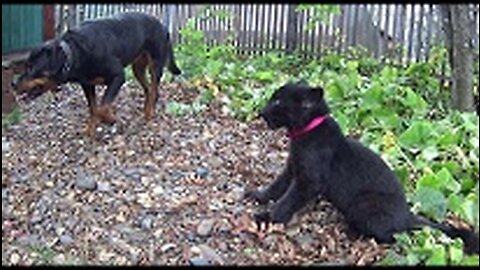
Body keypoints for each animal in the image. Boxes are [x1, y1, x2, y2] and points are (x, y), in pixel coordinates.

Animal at [13, 11, 182, 136]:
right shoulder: (87, 84)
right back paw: (147, 109)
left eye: (31, 68)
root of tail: (164, 26)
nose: (12, 83)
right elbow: (94, 108)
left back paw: (149, 113)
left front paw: (110, 119)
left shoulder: (118, 76)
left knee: (153, 88)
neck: (75, 53)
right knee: (149, 90)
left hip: (155, 63)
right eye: (25, 66)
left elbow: (102, 107)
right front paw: (91, 131)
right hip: (138, 68)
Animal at [246, 82, 478, 255]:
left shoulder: (308, 181)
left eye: (277, 100)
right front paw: (258, 196)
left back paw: (352, 233)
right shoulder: (292, 169)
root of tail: (407, 215)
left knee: (394, 236)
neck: (305, 133)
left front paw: (267, 217)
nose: (260, 112)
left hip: (362, 204)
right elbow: (276, 187)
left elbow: (287, 201)